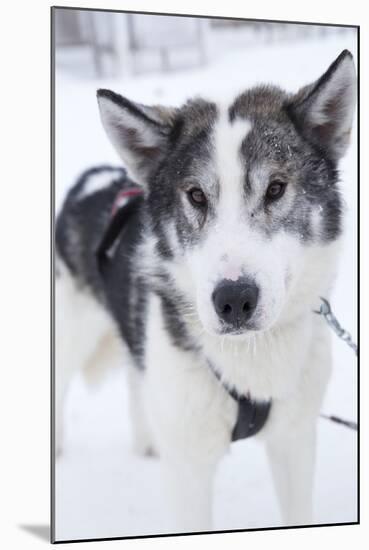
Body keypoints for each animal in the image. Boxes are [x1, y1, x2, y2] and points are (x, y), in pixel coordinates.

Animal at [56, 52, 356, 536]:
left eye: (276, 188)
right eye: (196, 195)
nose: (234, 299)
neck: (250, 363)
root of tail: (93, 179)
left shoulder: (293, 441)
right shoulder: (190, 470)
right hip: (72, 331)